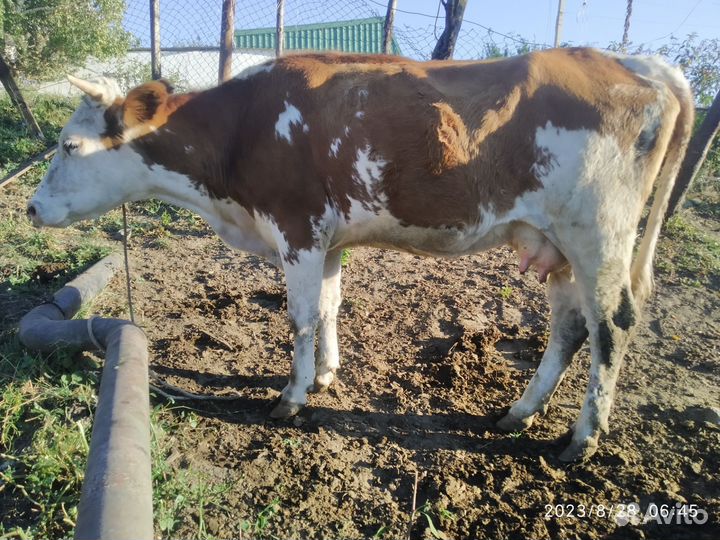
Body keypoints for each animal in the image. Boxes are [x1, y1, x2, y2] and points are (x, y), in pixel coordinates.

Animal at [27, 48, 693, 461]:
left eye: (69, 145)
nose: (31, 208)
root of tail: (637, 63)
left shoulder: (295, 227)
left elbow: (299, 317)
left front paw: (292, 397)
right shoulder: (326, 239)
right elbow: (328, 305)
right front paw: (326, 373)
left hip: (597, 235)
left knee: (612, 326)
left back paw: (582, 439)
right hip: (556, 244)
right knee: (570, 328)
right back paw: (518, 413)